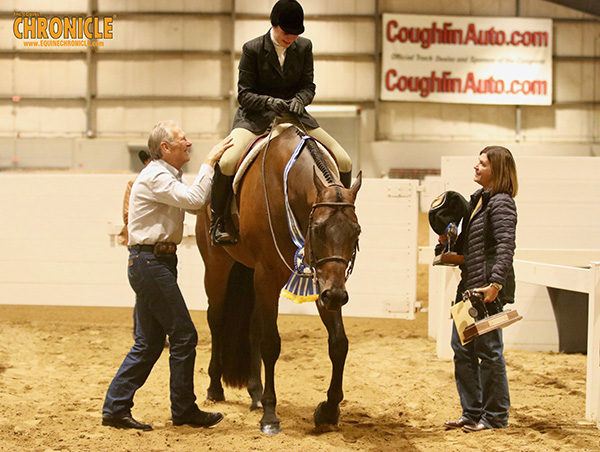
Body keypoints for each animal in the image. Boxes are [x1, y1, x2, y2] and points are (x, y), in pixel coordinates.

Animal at [197, 124, 360, 434]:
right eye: (317, 229)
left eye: (356, 231)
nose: (336, 296)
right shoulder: (268, 274)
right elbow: (271, 344)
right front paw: (271, 416)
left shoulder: (321, 278)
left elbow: (339, 343)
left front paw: (328, 410)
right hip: (218, 267)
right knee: (217, 319)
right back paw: (214, 388)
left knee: (252, 328)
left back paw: (255, 394)